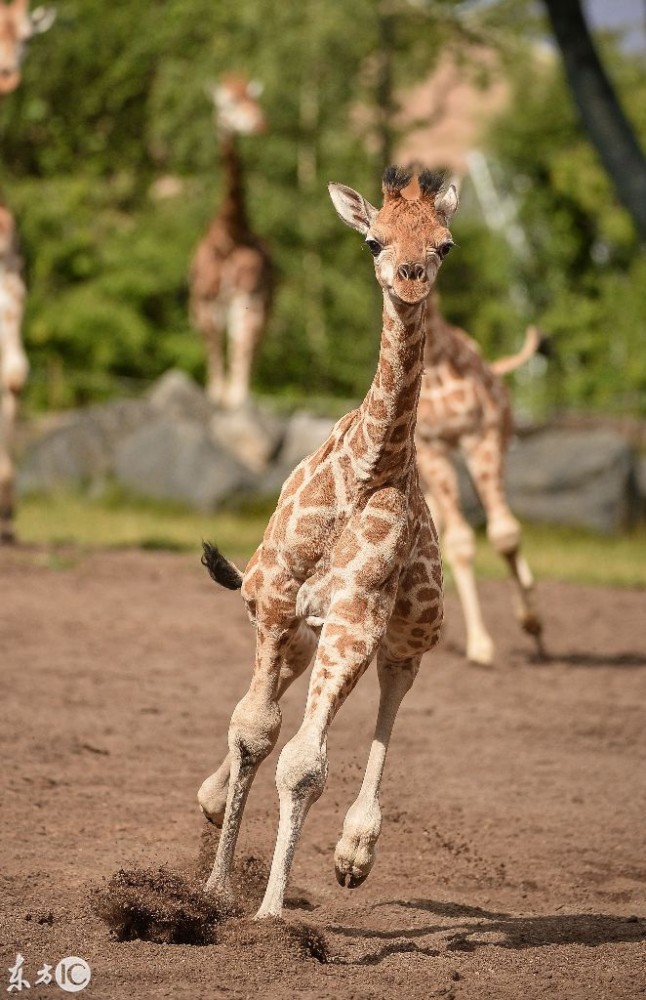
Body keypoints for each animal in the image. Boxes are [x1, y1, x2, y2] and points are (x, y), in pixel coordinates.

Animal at [200, 166, 458, 920]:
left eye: (444, 245)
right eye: (374, 239)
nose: (409, 280)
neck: (367, 468)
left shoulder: (356, 619)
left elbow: (303, 765)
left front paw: (269, 913)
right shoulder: (276, 604)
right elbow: (254, 729)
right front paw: (216, 887)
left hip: (409, 631)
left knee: (393, 691)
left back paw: (354, 851)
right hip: (294, 630)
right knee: (269, 706)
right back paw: (212, 797)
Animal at [416, 292, 548, 668]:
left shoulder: (481, 438)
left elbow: (505, 534)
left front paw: (531, 618)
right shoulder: (432, 448)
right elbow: (460, 542)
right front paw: (480, 645)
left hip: (499, 443)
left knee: (500, 520)